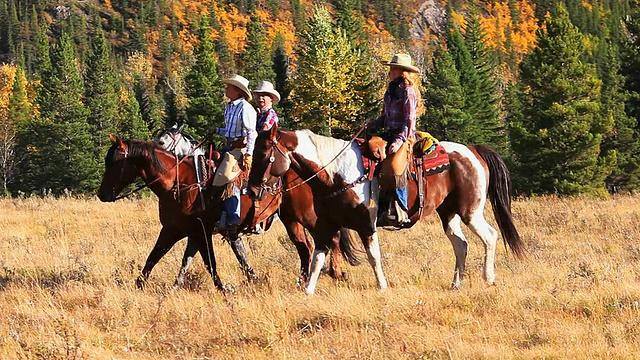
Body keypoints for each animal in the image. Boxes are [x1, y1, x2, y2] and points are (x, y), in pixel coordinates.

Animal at [97, 136, 280, 292]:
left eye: (114, 163)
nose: (102, 195)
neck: (181, 184)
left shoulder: (202, 232)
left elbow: (210, 263)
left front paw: (224, 290)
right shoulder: (174, 230)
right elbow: (157, 257)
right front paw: (142, 285)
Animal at [248, 125, 524, 294]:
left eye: (263, 153)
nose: (251, 190)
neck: (336, 173)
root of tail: (473, 150)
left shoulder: (365, 224)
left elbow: (373, 256)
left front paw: (382, 286)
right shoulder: (326, 227)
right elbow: (317, 259)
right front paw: (308, 291)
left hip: (471, 211)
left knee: (490, 236)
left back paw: (488, 278)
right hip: (448, 213)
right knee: (461, 244)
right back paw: (457, 283)